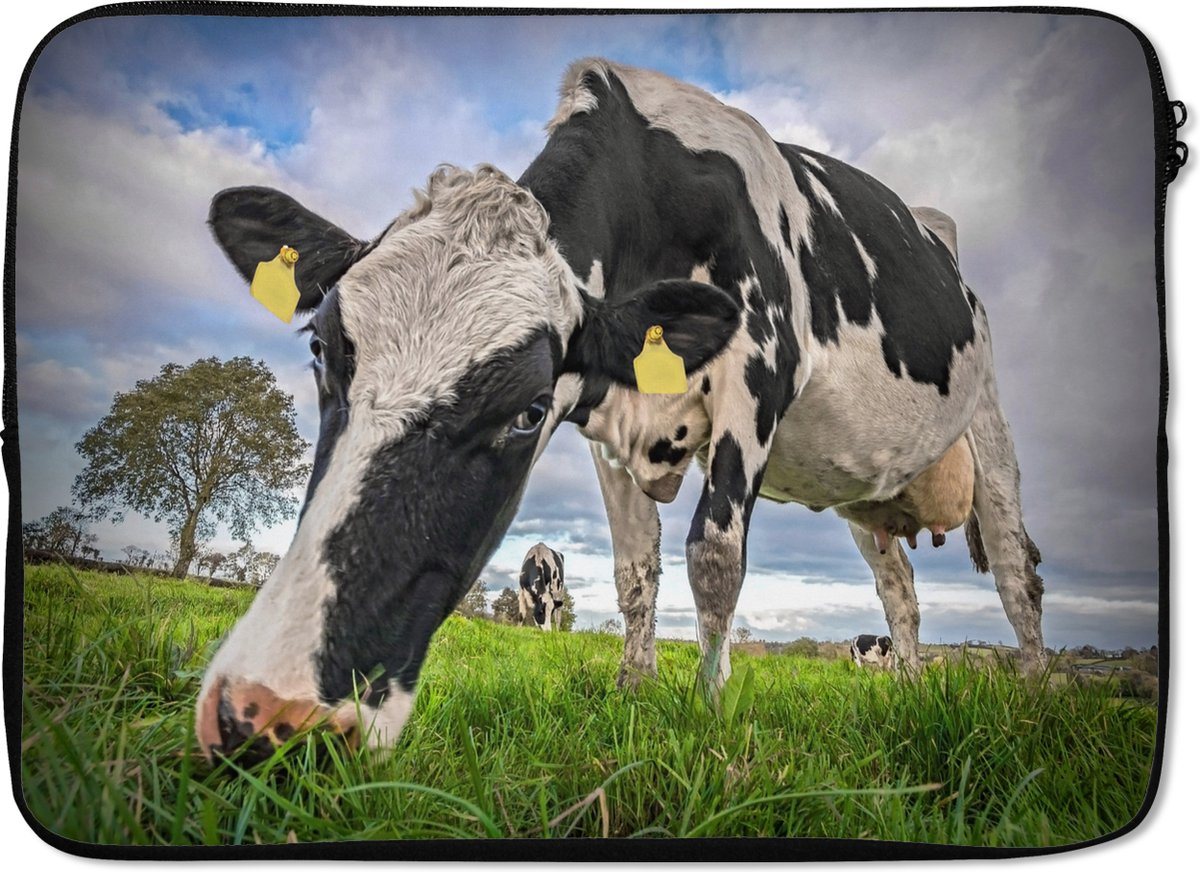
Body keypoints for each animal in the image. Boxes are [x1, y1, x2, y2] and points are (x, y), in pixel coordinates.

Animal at [197, 58, 1046, 759]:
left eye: (530, 408)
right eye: (319, 350)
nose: (270, 713)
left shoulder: (759, 373)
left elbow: (713, 556)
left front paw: (707, 708)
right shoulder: (608, 427)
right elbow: (636, 571)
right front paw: (633, 691)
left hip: (990, 419)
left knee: (1015, 572)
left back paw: (1036, 697)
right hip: (865, 489)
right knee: (898, 588)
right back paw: (908, 692)